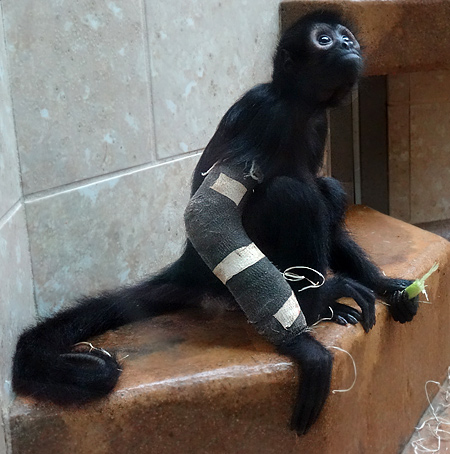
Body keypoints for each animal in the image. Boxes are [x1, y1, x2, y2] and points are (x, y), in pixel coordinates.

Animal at [12, 9, 418, 436]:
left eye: (346, 38)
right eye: (324, 39)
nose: (347, 44)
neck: (298, 107)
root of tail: (191, 263)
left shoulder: (317, 123)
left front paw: (387, 285)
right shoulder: (264, 111)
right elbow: (208, 211)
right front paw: (302, 344)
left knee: (326, 189)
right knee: (291, 193)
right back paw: (313, 305)